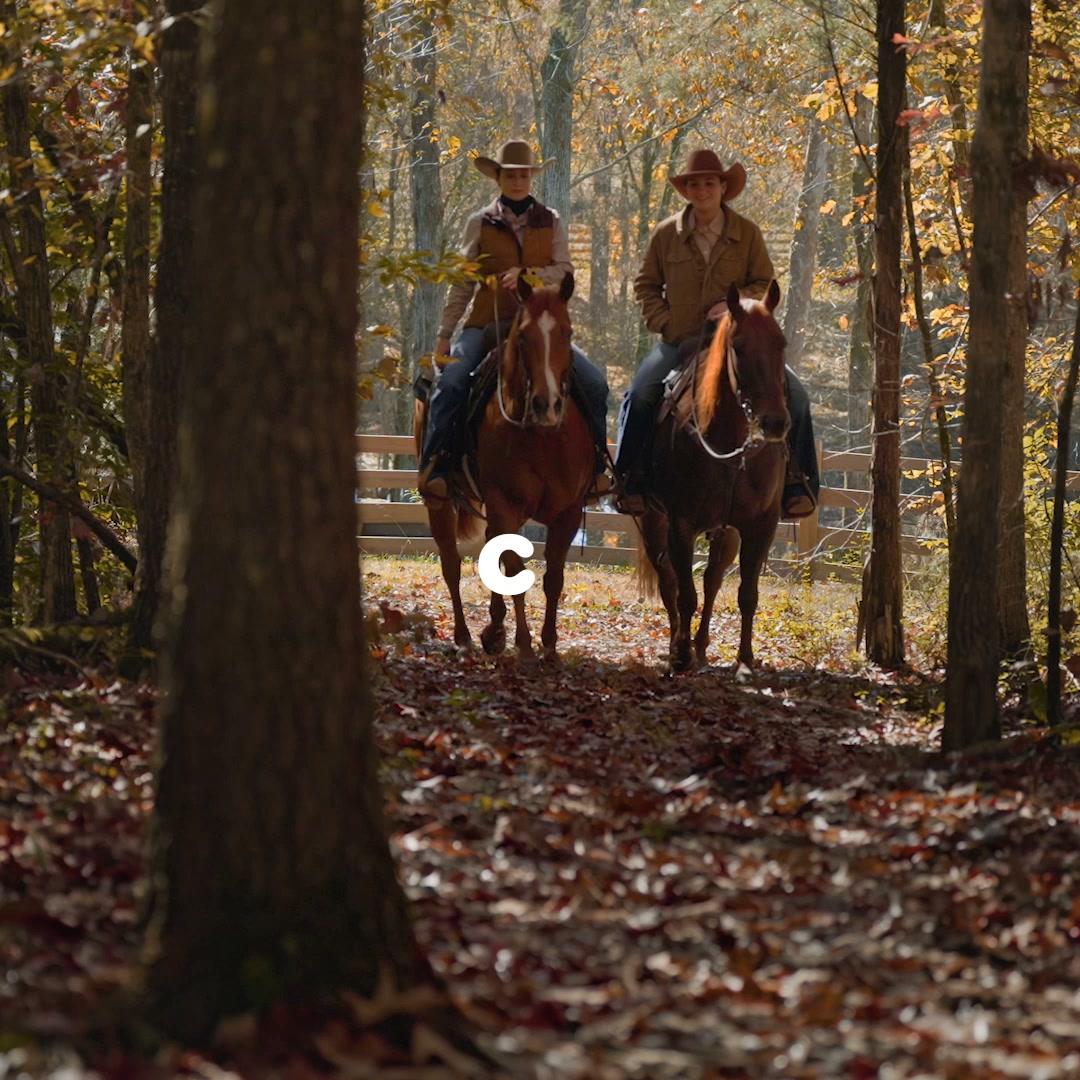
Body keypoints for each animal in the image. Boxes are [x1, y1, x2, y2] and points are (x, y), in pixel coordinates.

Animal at [413, 273, 593, 659]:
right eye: (523, 336)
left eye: (568, 332)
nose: (546, 404)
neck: (542, 436)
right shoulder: (503, 503)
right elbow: (514, 570)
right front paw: (524, 644)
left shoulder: (569, 511)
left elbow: (553, 576)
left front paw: (549, 644)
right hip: (439, 502)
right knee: (451, 564)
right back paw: (465, 636)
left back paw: (494, 629)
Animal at [636, 279, 789, 673]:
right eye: (739, 346)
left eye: (781, 343)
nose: (775, 423)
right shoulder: (680, 524)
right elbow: (684, 594)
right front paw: (680, 654)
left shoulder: (761, 525)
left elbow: (746, 594)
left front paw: (746, 659)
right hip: (652, 522)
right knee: (669, 582)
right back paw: (680, 645)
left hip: (726, 533)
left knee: (713, 579)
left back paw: (702, 646)